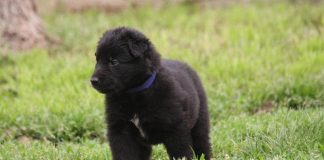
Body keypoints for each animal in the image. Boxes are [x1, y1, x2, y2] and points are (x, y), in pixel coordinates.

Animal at [91, 26, 211, 159]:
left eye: (114, 61)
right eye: (97, 60)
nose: (93, 80)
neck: (133, 94)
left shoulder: (175, 129)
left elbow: (181, 153)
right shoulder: (121, 130)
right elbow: (124, 153)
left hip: (200, 122)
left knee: (202, 144)